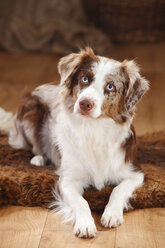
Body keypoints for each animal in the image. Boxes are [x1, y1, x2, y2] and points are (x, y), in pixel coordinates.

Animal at [8, 47, 149, 238]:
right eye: (85, 79)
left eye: (110, 86)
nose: (85, 103)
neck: (94, 129)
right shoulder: (67, 180)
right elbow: (81, 202)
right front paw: (85, 224)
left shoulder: (135, 172)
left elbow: (118, 190)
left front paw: (112, 214)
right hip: (31, 110)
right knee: (34, 146)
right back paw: (39, 159)